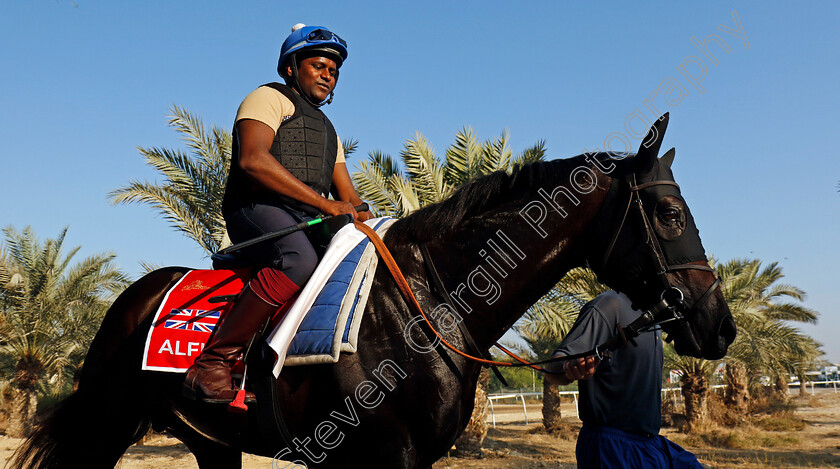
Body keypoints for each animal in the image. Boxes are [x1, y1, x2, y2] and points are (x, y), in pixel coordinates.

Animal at [13, 114, 736, 468]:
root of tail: (131, 298)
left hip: (212, 443)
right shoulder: (386, 457)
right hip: (106, 426)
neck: (431, 301)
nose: (718, 324)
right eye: (670, 214)